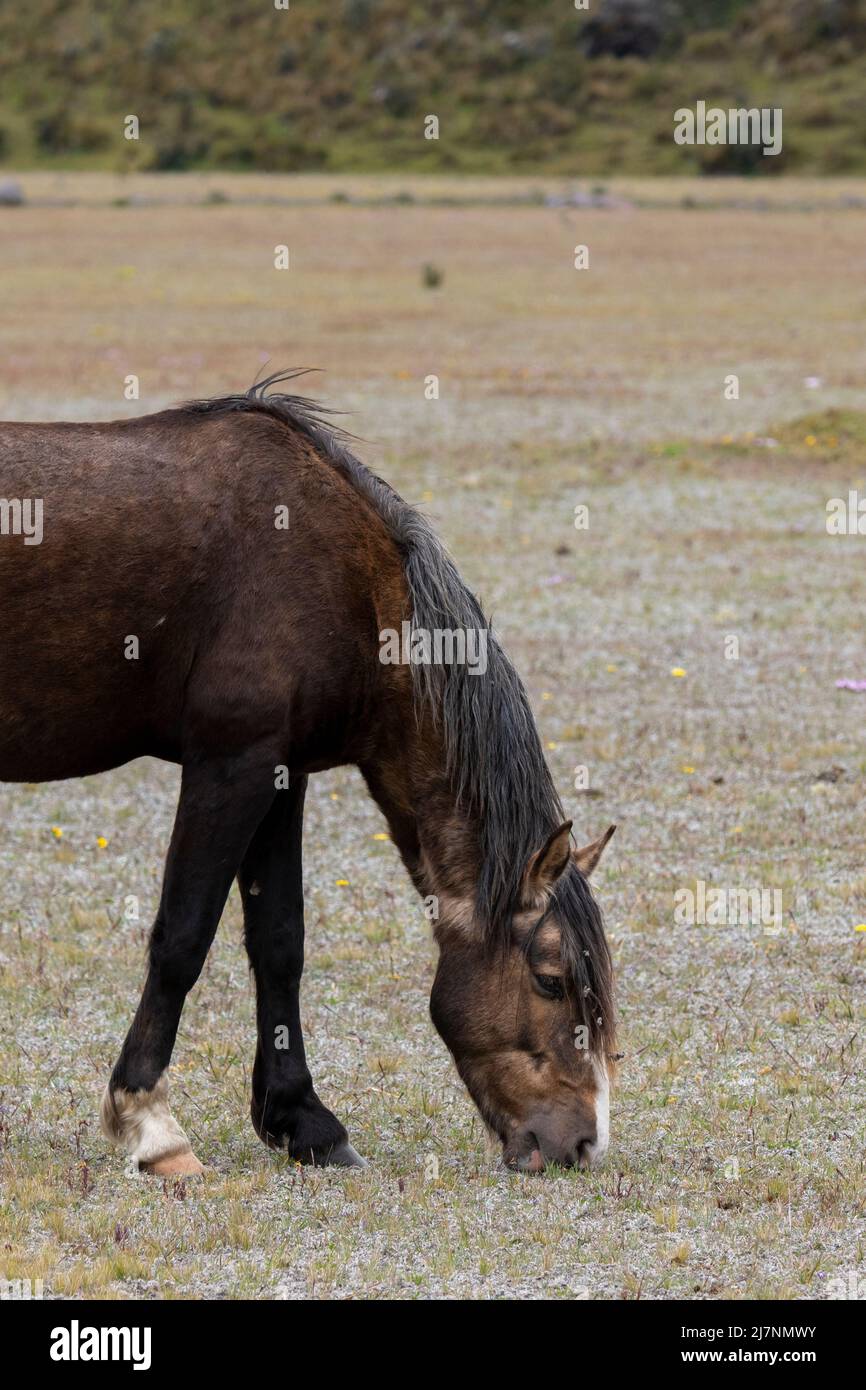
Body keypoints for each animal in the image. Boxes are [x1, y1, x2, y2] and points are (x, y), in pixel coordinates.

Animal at [1, 375, 617, 1178]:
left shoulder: (280, 774)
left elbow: (280, 944)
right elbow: (182, 939)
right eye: (550, 980)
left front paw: (303, 1121)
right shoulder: (231, 765)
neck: (344, 577)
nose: (579, 1142)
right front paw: (152, 1123)